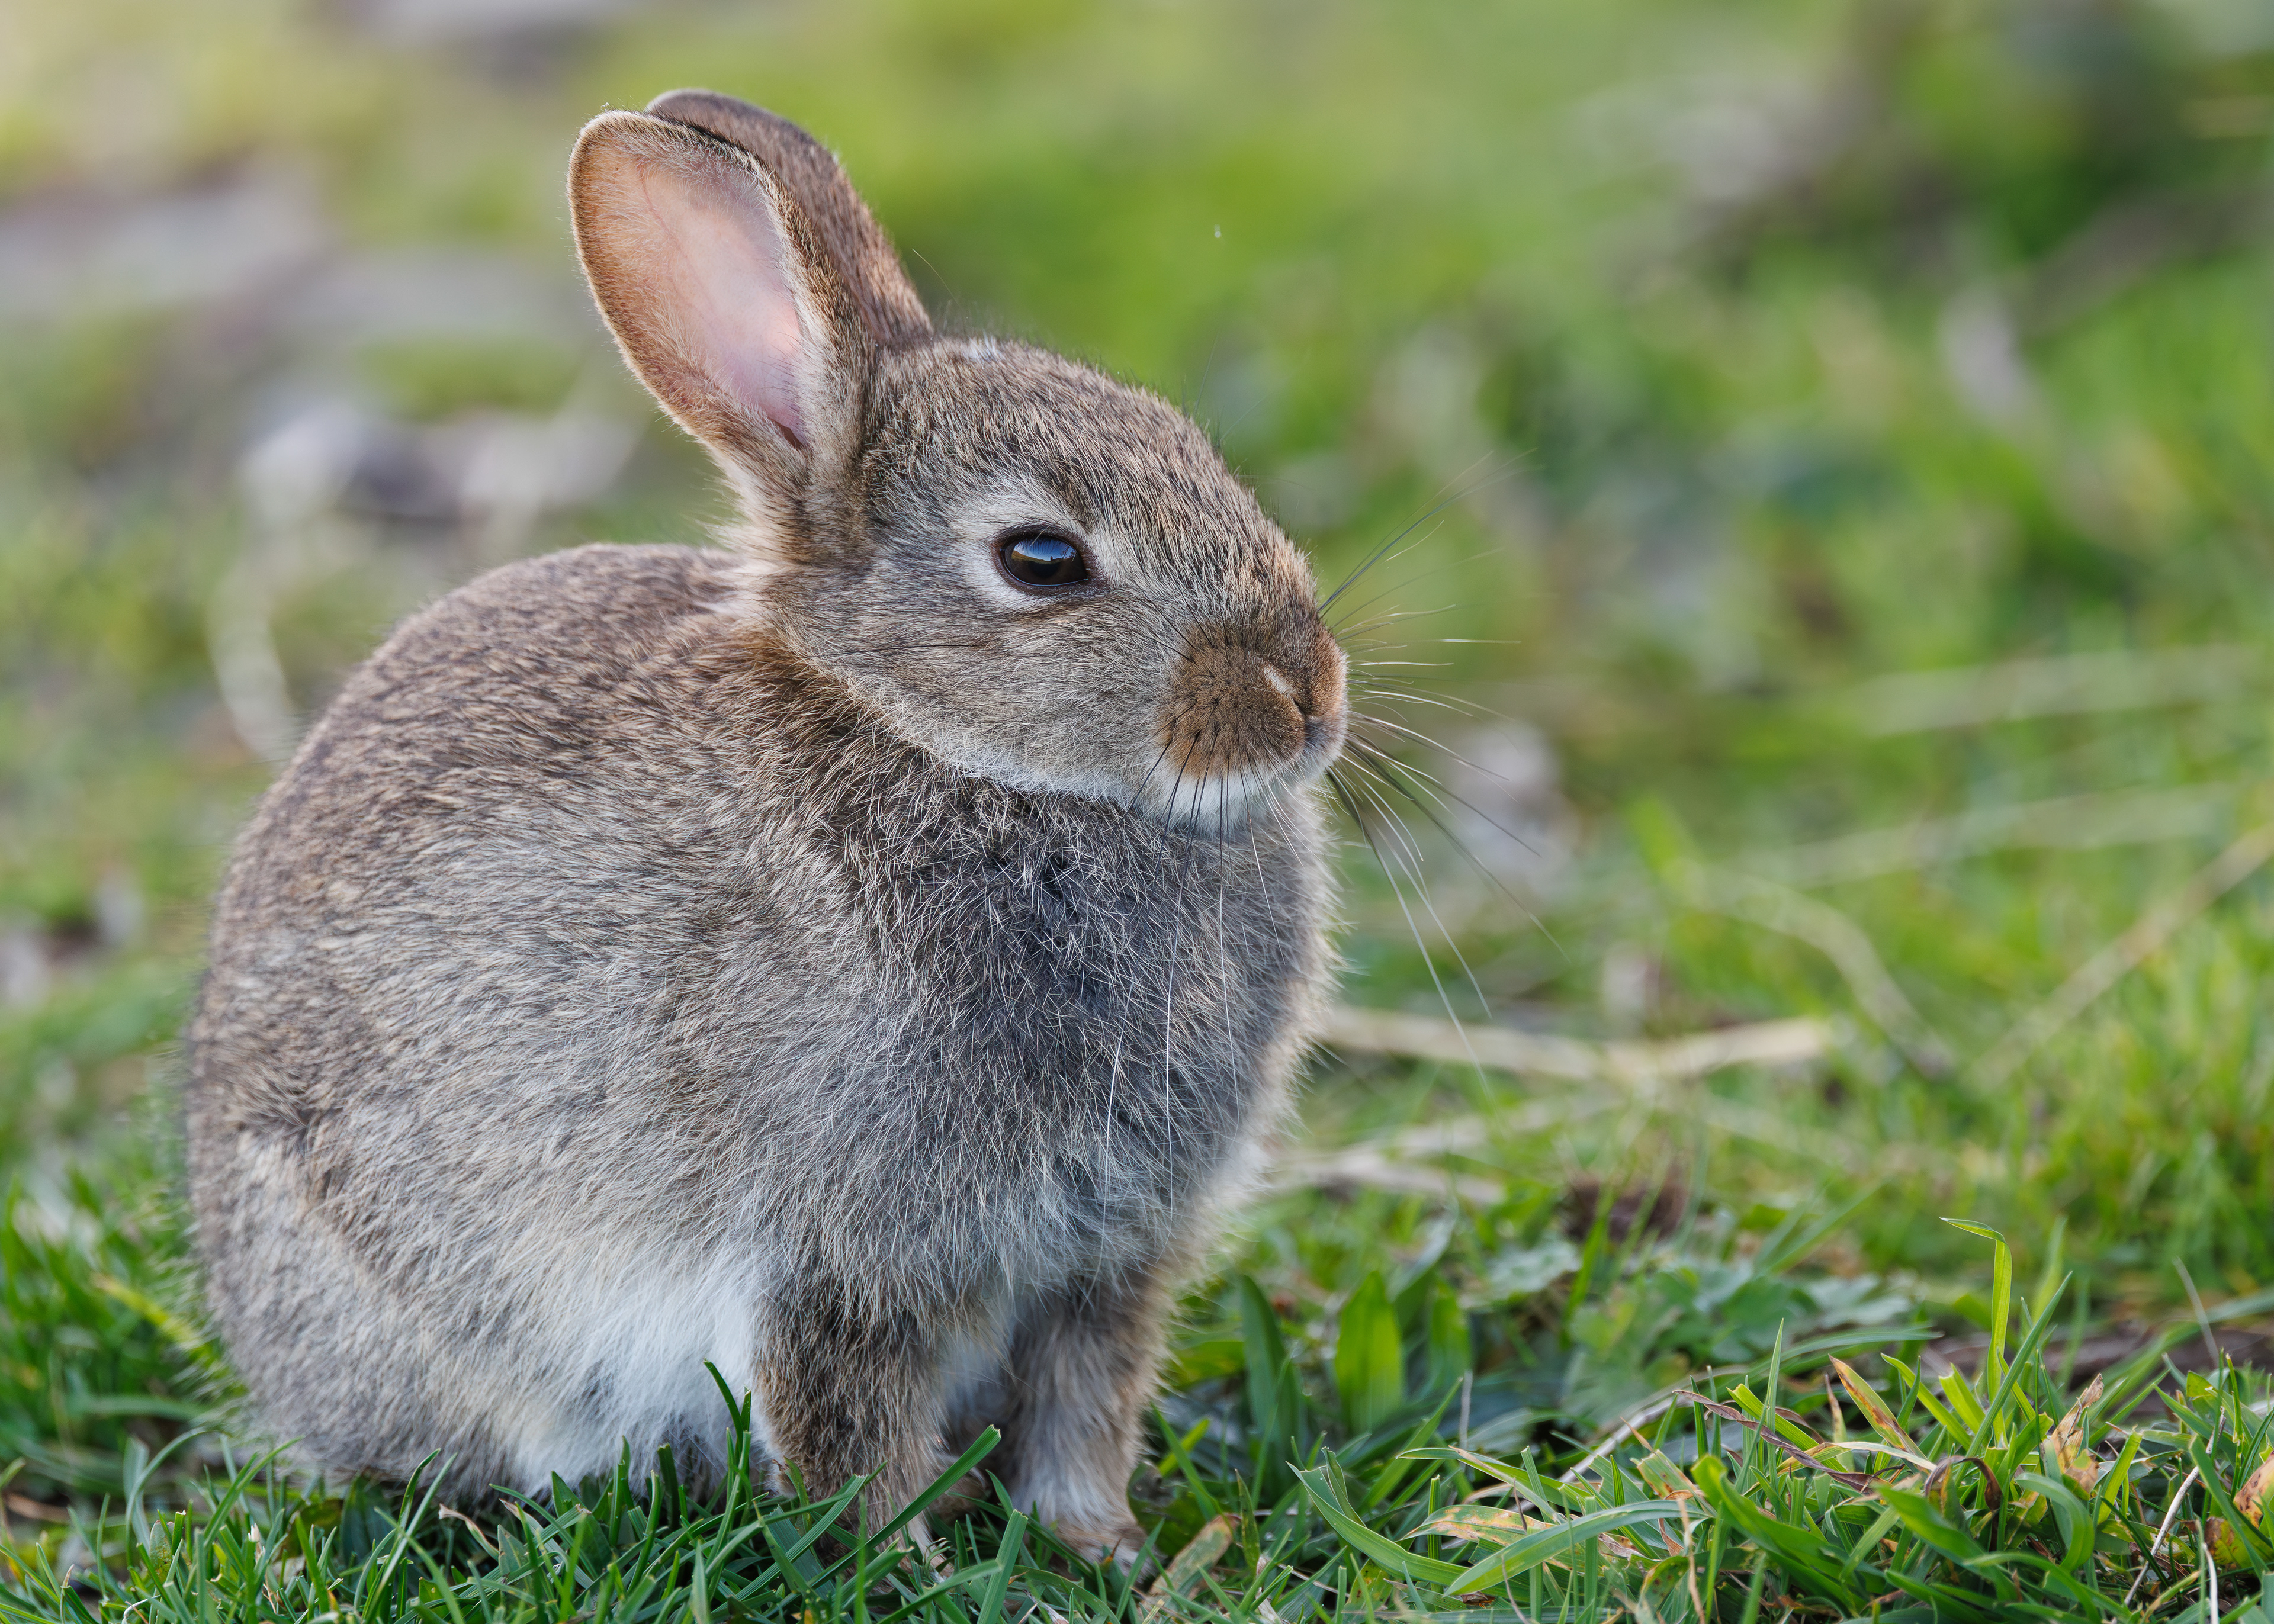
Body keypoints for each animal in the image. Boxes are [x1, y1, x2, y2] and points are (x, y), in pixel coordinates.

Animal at [184, 88, 1346, 1561]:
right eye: (1042, 560)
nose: (1308, 694)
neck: (955, 753)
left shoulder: (1106, 1260)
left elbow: (1085, 1413)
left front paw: (1109, 1551)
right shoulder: (828, 1255)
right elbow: (850, 1426)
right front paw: (917, 1567)